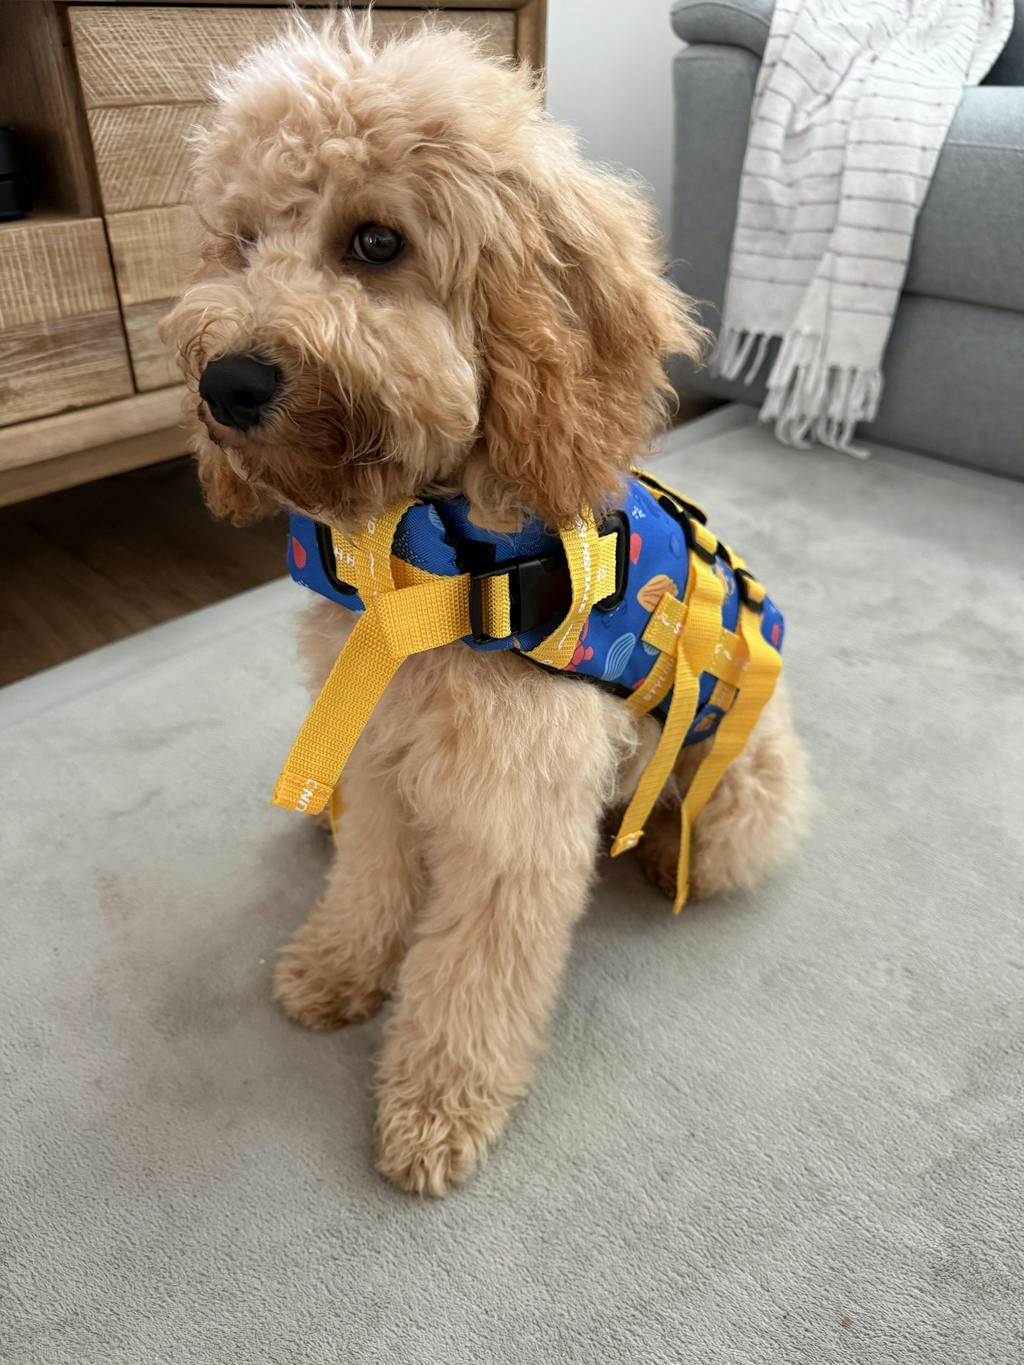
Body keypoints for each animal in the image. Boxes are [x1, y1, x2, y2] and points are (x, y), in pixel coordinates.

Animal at [161, 15, 808, 1196]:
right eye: (241, 243)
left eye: (375, 242)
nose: (224, 383)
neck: (419, 569)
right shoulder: (375, 752)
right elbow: (371, 879)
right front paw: (337, 967)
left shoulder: (516, 818)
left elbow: (470, 977)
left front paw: (435, 1106)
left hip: (741, 793)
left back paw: (663, 852)